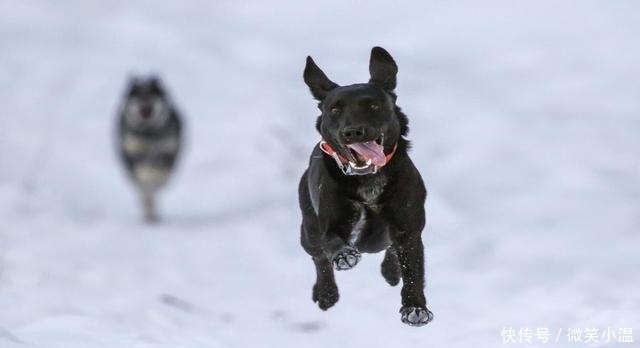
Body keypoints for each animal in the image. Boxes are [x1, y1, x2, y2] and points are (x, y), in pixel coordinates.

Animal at [116, 76, 182, 223]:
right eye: (137, 96)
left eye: (152, 95)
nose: (145, 106)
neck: (149, 132)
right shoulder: (134, 150)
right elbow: (144, 173)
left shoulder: (168, 149)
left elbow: (159, 172)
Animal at [298, 46, 432, 326]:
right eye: (335, 110)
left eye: (373, 105)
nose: (353, 132)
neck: (368, 181)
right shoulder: (331, 222)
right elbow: (332, 242)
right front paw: (344, 256)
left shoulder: (408, 227)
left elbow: (413, 268)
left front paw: (415, 308)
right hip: (308, 230)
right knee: (318, 257)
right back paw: (326, 292)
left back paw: (391, 271)